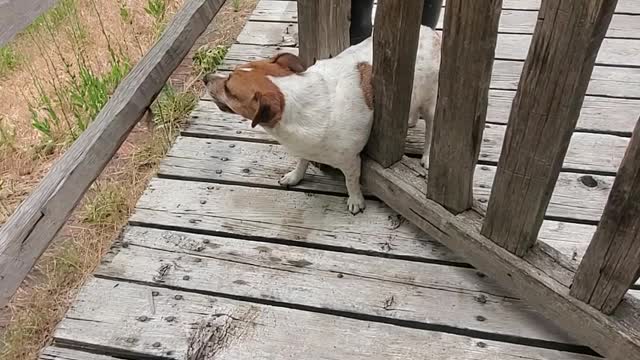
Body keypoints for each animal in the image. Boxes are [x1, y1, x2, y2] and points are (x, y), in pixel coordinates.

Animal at [205, 26, 440, 215]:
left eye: (229, 89)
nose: (206, 77)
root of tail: (430, 31)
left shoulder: (350, 160)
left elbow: (351, 180)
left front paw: (356, 200)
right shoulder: (305, 147)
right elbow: (302, 161)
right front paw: (295, 176)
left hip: (432, 103)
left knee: (431, 129)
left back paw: (428, 156)